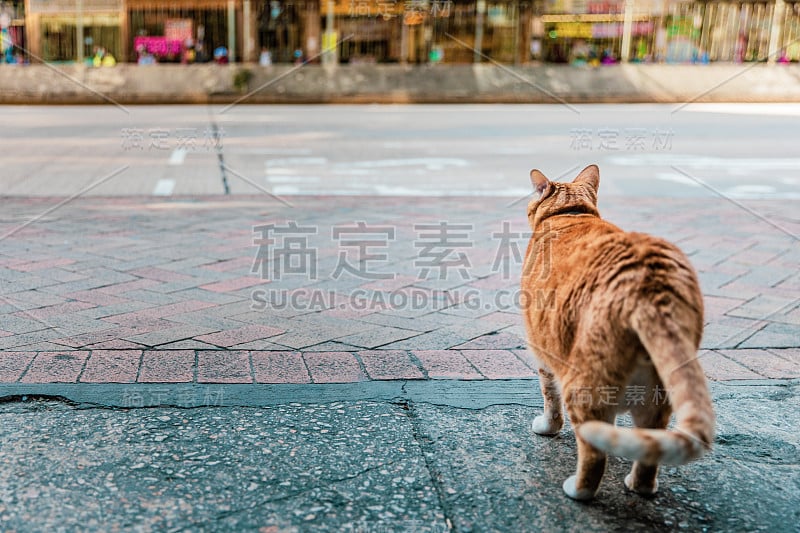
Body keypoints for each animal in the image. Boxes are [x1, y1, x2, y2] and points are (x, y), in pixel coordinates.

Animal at [520, 163, 716, 498]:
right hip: (659, 396)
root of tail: (651, 288)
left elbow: (549, 398)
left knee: (594, 455)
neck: (571, 213)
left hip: (584, 387)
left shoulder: (542, 352)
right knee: (649, 449)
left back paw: (578, 490)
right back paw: (640, 487)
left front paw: (547, 427)